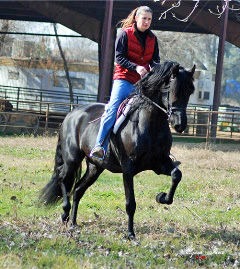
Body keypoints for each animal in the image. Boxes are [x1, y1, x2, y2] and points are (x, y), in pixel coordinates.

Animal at [39, 61, 195, 239]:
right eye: (172, 89)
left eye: (190, 91)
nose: (180, 124)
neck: (149, 125)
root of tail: (72, 113)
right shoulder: (128, 169)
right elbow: (130, 203)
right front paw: (130, 234)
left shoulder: (159, 164)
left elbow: (176, 175)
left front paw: (162, 197)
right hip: (72, 159)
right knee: (64, 179)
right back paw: (65, 213)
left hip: (95, 167)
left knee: (78, 190)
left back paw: (73, 223)